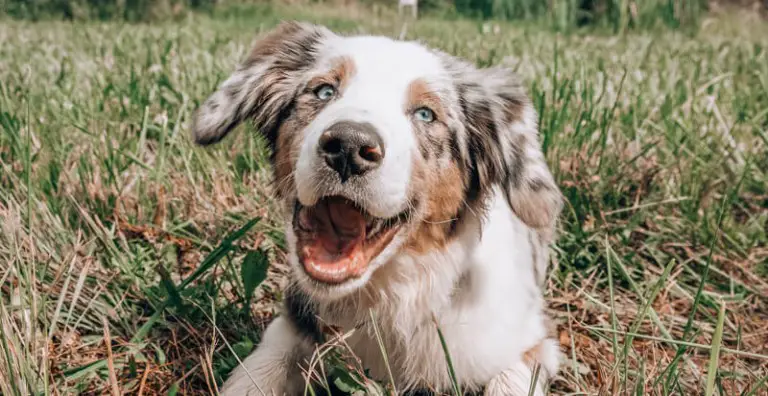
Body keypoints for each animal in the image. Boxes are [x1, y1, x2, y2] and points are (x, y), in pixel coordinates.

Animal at [192, 22, 564, 396]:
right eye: (324, 91)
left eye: (426, 114)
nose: (348, 146)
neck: (388, 296)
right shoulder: (292, 325)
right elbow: (256, 373)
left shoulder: (533, 341)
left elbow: (508, 379)